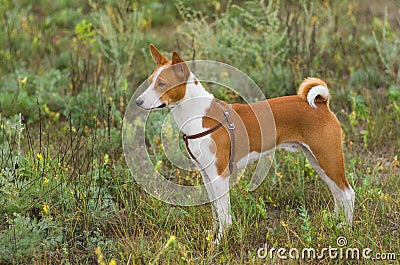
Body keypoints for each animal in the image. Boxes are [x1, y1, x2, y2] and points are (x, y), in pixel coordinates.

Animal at [136, 44, 354, 242]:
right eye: (150, 82)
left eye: (162, 84)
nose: (138, 101)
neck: (198, 115)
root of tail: (321, 103)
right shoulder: (206, 173)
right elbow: (215, 210)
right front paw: (212, 233)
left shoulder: (219, 174)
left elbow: (224, 215)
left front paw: (220, 241)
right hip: (319, 161)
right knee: (337, 193)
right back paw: (334, 220)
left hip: (328, 159)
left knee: (348, 193)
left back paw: (346, 228)